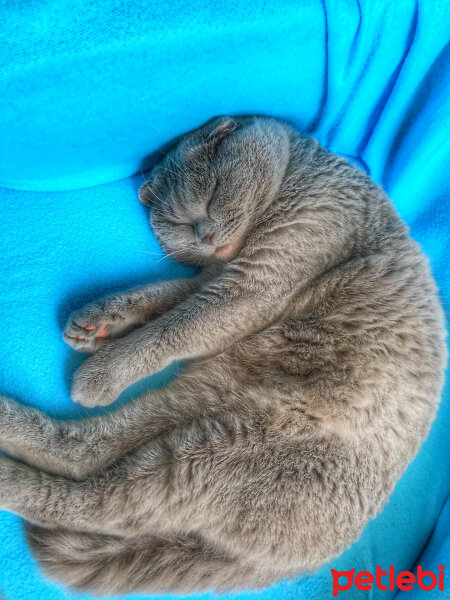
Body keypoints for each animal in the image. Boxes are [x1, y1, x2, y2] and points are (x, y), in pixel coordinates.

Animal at [0, 115, 444, 592]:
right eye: (178, 222)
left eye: (213, 193)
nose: (206, 234)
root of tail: (284, 564)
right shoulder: (215, 277)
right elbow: (163, 297)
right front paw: (97, 322)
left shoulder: (253, 283)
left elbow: (175, 324)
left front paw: (104, 365)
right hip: (201, 403)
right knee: (90, 451)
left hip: (215, 451)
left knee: (94, 491)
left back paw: (12, 472)